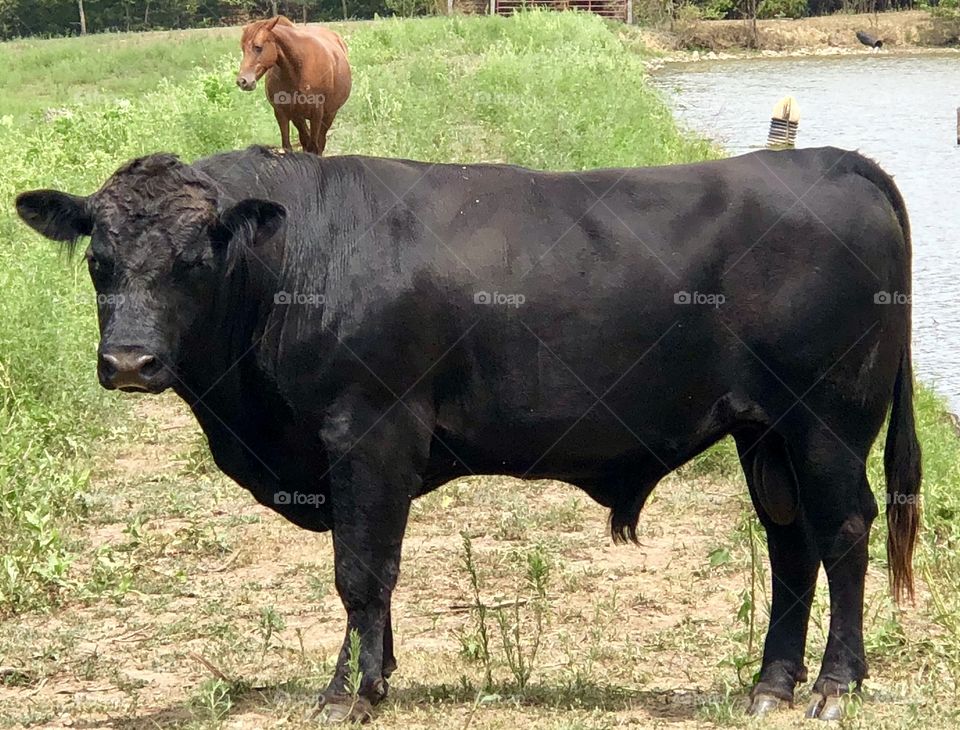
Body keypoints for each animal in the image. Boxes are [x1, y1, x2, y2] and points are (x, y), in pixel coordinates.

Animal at [16, 145, 921, 723]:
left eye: (193, 262)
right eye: (98, 260)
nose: (129, 361)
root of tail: (832, 159)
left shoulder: (371, 431)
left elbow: (362, 572)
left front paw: (349, 693)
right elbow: (370, 574)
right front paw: (377, 676)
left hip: (827, 422)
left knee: (843, 531)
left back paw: (834, 686)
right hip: (765, 432)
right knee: (791, 544)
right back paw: (770, 684)